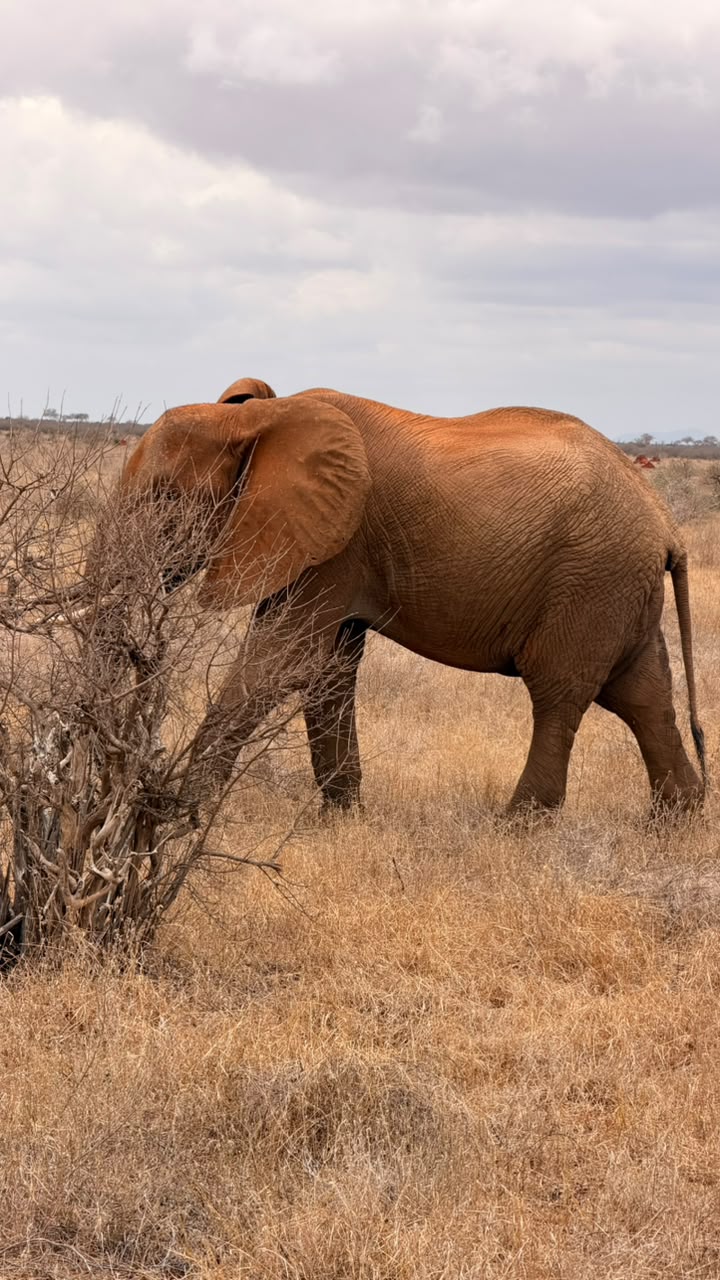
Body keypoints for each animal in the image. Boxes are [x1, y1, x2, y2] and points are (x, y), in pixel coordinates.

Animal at [116, 375, 705, 816]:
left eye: (164, 498)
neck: (261, 419)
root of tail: (665, 523)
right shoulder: (332, 545)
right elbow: (327, 670)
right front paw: (343, 819)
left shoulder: (337, 541)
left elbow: (283, 662)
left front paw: (178, 816)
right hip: (617, 587)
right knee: (642, 695)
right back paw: (674, 822)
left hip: (591, 580)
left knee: (560, 694)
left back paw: (515, 828)